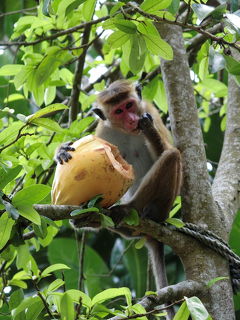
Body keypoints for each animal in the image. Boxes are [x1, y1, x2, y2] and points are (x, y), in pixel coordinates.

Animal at [55, 79, 182, 312]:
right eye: (119, 111)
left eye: (130, 105)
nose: (132, 119)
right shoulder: (104, 130)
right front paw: (61, 150)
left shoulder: (150, 110)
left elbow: (171, 154)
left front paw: (149, 129)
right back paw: (90, 218)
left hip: (164, 207)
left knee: (171, 156)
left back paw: (131, 209)